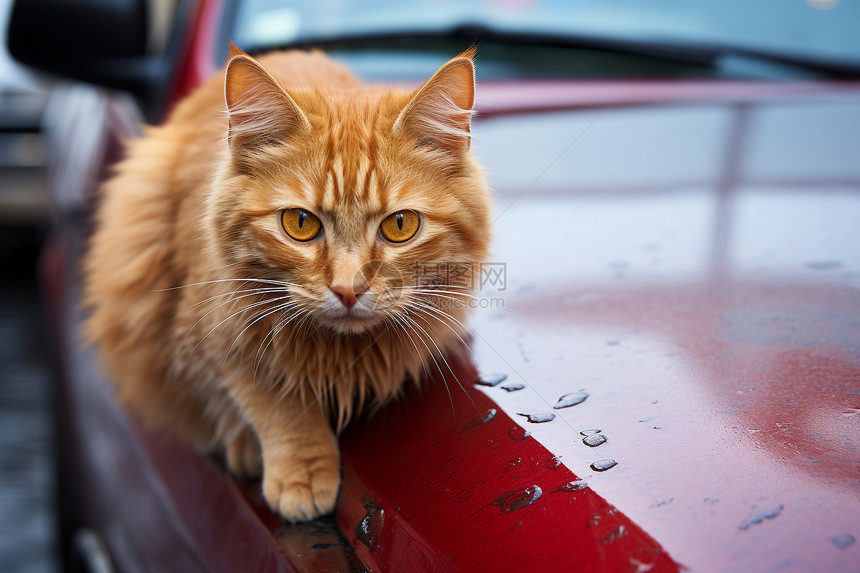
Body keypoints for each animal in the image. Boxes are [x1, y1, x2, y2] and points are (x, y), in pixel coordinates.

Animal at [85, 47, 494, 520]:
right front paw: (301, 470)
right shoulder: (208, 331)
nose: (349, 289)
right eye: (300, 224)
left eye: (400, 226)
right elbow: (273, 402)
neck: (337, 353)